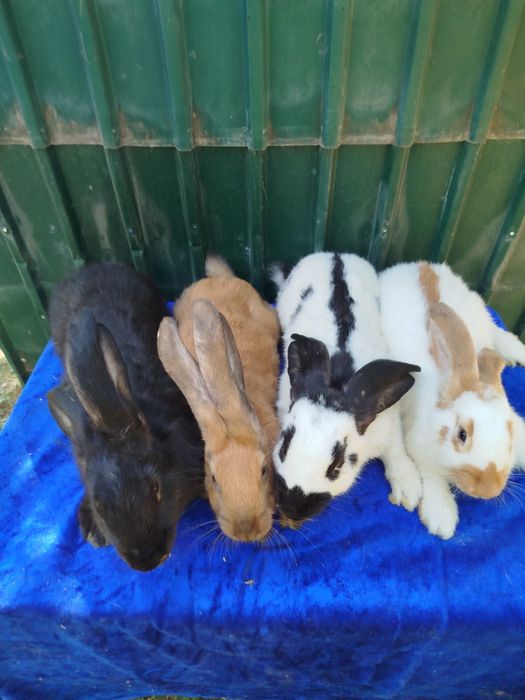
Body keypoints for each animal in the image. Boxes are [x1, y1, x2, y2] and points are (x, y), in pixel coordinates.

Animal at [271, 252, 422, 528]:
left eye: (336, 467)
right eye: (284, 447)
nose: (293, 509)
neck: (339, 383)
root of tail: (334, 255)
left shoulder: (388, 428)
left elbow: (396, 452)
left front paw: (409, 493)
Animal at [378, 261, 525, 539]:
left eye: (510, 433)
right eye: (462, 435)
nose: (488, 490)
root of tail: (421, 264)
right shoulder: (421, 448)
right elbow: (433, 478)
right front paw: (441, 518)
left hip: (479, 308)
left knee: (495, 330)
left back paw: (516, 351)